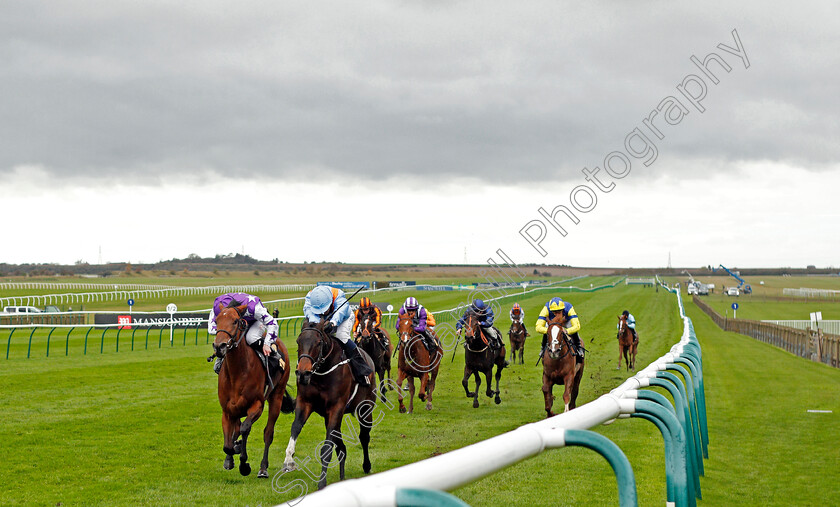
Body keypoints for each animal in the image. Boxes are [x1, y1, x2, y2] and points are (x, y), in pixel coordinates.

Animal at [210, 304, 296, 478]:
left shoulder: (257, 405)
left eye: (235, 321)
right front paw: (230, 458)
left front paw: (244, 464)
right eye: (217, 320)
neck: (237, 373)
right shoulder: (227, 411)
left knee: (268, 433)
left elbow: (245, 429)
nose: (219, 346)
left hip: (276, 397)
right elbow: (228, 442)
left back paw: (263, 468)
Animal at [282, 322, 374, 492]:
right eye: (298, 341)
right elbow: (295, 428)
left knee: (364, 436)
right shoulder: (305, 403)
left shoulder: (336, 407)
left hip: (366, 407)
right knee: (341, 446)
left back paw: (366, 465)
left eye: (318, 343)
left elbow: (327, 447)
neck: (322, 373)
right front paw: (289, 461)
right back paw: (342, 475)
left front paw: (321, 483)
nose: (303, 373)